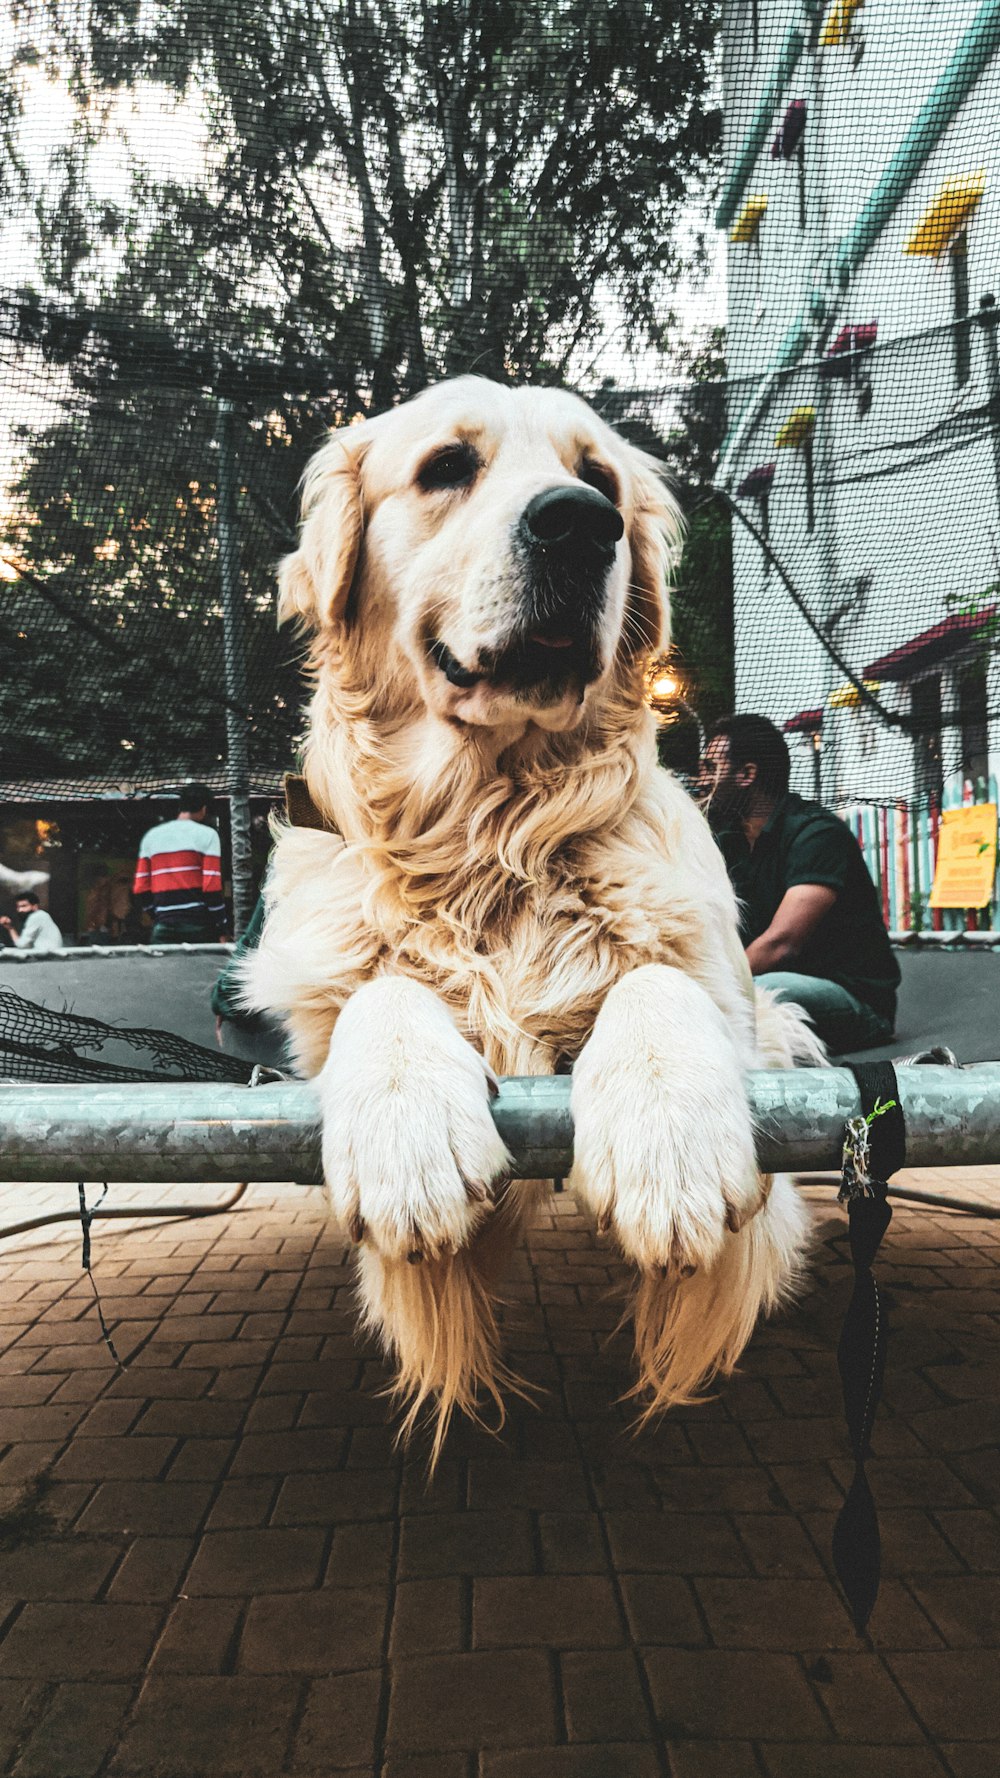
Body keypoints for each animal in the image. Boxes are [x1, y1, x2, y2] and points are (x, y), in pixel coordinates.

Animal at [240, 375, 811, 1457]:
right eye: (446, 467)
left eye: (600, 480)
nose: (579, 524)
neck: (489, 828)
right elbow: (384, 989)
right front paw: (406, 1130)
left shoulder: (745, 1051)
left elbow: (655, 976)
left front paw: (668, 1139)